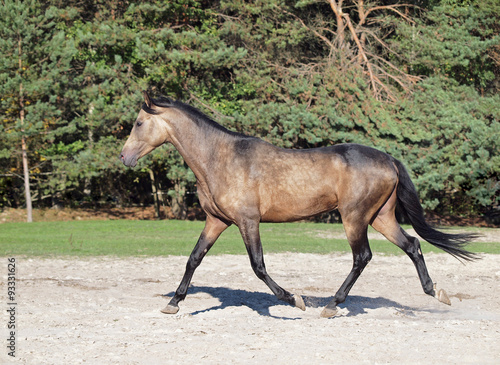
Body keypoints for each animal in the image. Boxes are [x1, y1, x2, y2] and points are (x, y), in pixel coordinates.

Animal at [120, 91, 476, 316]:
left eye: (138, 123)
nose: (124, 157)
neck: (220, 159)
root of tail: (388, 158)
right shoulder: (216, 220)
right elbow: (193, 259)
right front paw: (174, 303)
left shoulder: (248, 221)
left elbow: (258, 266)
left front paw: (294, 300)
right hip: (381, 217)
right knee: (412, 245)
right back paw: (436, 292)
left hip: (354, 217)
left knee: (362, 256)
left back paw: (331, 305)